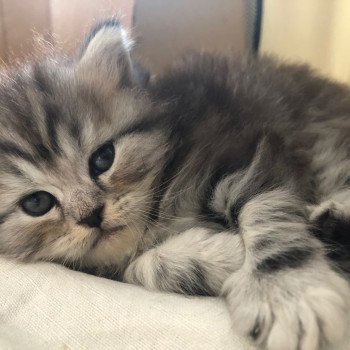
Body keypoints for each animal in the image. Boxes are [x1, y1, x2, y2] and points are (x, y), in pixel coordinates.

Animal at [0, 19, 350, 350]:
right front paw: (230, 254)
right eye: (37, 203)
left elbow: (267, 212)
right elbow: (143, 266)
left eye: (103, 158)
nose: (92, 215)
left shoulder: (248, 156)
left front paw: (288, 293)